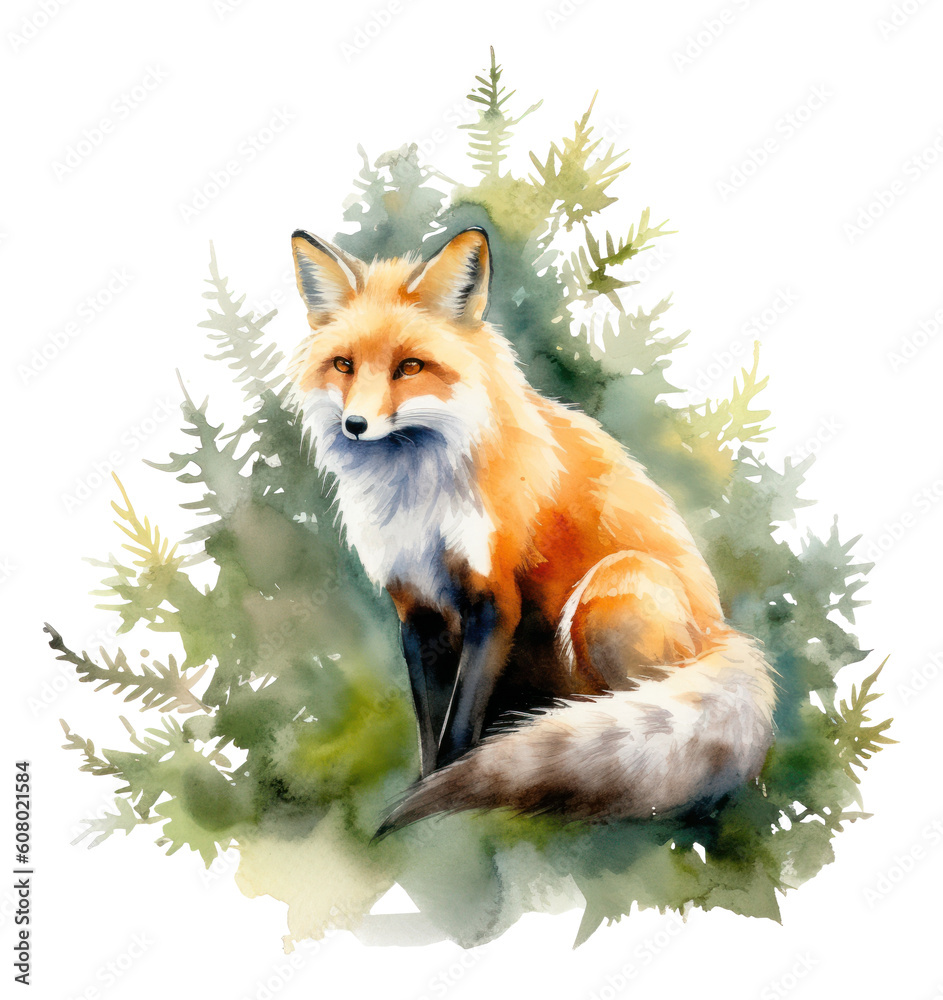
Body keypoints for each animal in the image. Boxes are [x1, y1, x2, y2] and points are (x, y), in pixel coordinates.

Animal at [287, 226, 776, 835]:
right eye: (344, 365)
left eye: (410, 367)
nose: (355, 425)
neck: (415, 499)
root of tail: (722, 632)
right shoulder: (416, 607)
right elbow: (429, 727)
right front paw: (424, 794)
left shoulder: (493, 597)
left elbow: (456, 728)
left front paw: (440, 812)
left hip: (610, 592)